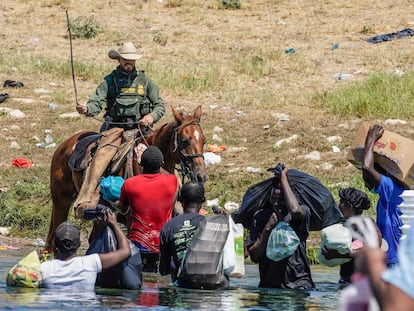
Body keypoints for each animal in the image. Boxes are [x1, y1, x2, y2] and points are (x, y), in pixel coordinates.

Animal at [46, 106, 207, 252]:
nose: (201, 176)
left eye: (204, 141)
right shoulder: (132, 219)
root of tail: (65, 144)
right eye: (185, 141)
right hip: (61, 202)